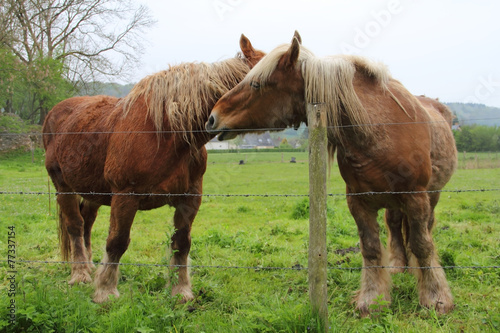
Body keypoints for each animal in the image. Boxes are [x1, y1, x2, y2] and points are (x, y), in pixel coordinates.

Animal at [43, 35, 266, 302]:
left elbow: (181, 243)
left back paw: (88, 265)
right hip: (63, 187)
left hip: (92, 191)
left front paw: (181, 291)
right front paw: (105, 291)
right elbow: (116, 242)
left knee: (87, 222)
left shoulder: (190, 198)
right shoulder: (125, 196)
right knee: (75, 225)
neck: (169, 133)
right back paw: (81, 274)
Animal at [206, 31, 458, 314]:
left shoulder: (415, 198)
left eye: (257, 84)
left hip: (431, 196)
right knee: (394, 227)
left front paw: (436, 297)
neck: (380, 132)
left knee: (424, 229)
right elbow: (371, 248)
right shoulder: (358, 202)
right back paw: (397, 266)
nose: (213, 118)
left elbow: (423, 245)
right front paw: (372, 299)